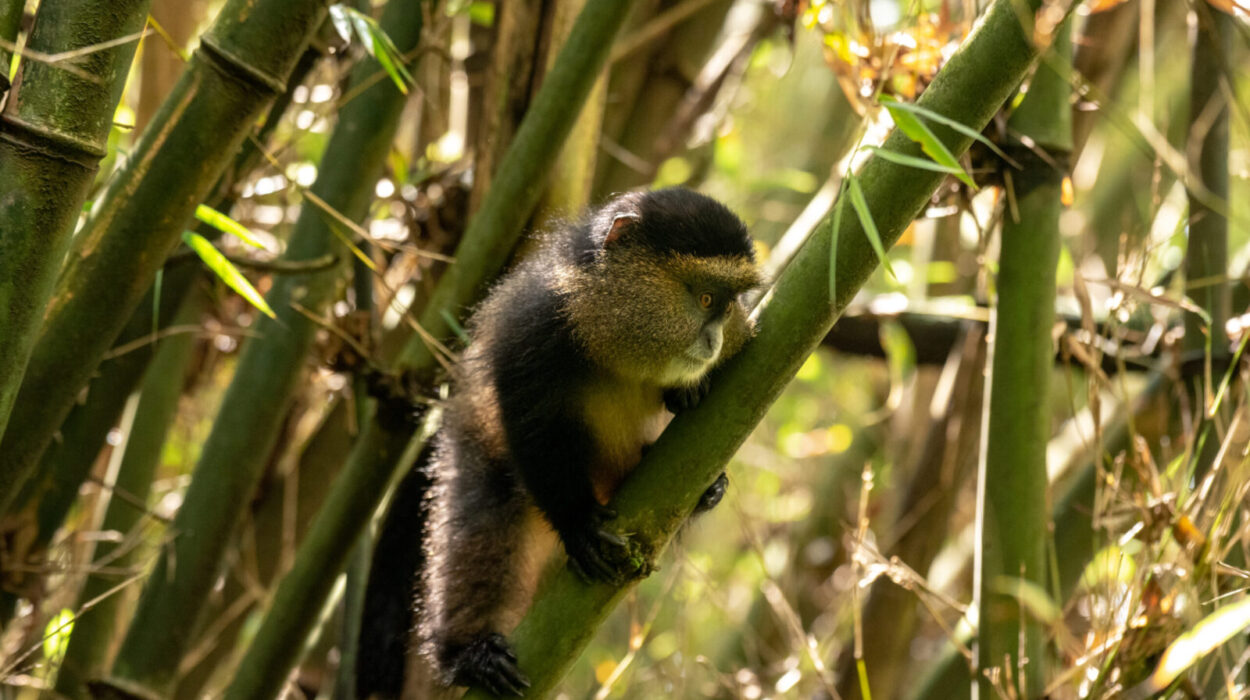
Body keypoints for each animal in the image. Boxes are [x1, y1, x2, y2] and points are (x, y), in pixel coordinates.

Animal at [357, 187, 761, 698]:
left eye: (729, 306)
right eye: (706, 297)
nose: (713, 340)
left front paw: (692, 418)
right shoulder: (534, 330)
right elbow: (533, 428)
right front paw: (578, 525)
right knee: (483, 522)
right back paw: (470, 654)